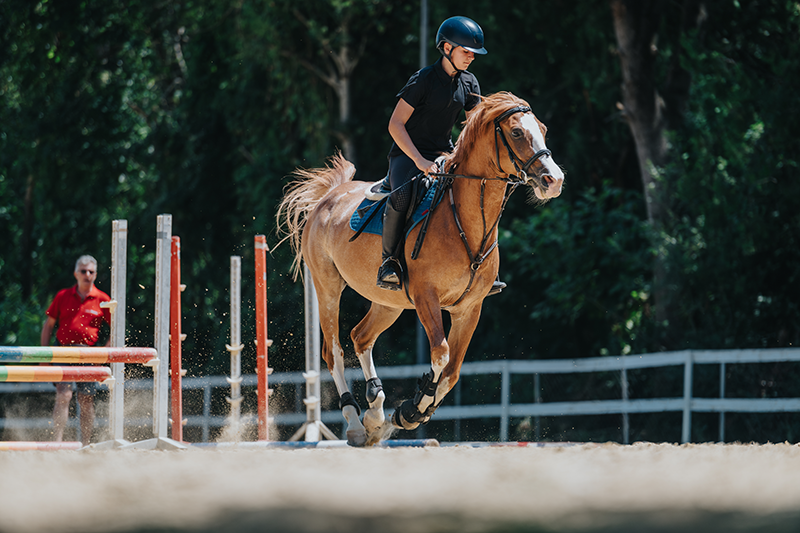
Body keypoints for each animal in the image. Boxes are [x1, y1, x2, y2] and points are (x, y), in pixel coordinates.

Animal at [277, 92, 564, 446]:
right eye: (516, 132)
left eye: (543, 129)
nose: (554, 180)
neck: (464, 222)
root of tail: (328, 197)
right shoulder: (427, 298)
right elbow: (440, 354)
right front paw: (412, 409)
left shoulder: (469, 308)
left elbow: (452, 371)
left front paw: (406, 413)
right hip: (327, 287)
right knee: (334, 351)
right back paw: (357, 423)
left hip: (388, 303)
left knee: (361, 337)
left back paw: (376, 412)